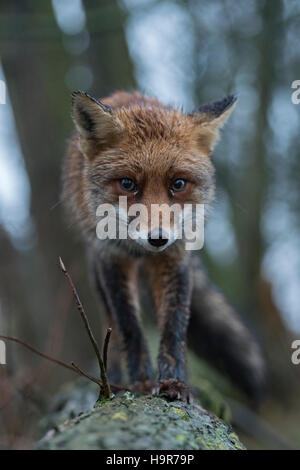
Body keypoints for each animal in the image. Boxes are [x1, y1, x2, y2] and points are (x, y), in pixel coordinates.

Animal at [62, 92, 264, 404]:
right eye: (127, 183)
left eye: (178, 184)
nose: (157, 238)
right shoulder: (113, 258)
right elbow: (129, 327)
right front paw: (142, 382)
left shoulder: (175, 257)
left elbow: (174, 327)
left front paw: (174, 382)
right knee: (111, 325)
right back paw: (114, 380)